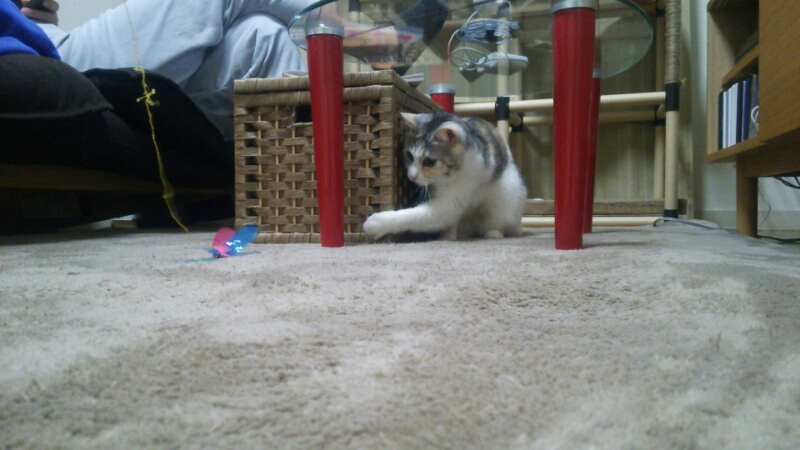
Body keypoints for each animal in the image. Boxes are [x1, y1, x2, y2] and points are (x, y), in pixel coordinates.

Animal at [363, 112, 528, 240]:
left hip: (506, 200)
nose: (411, 176)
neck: (443, 179)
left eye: (429, 162)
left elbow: (415, 215)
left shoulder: (451, 202)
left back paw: (493, 233)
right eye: (409, 155)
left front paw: (377, 222)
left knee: (500, 224)